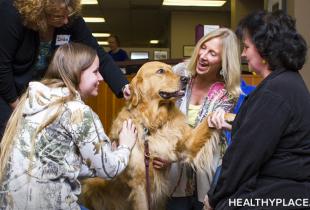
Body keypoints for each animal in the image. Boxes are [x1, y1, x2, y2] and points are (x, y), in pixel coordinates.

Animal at [79, 61, 232, 210]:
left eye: (172, 69)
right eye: (160, 71)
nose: (186, 79)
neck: (153, 123)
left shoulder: (187, 144)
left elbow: (209, 118)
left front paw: (228, 116)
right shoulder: (139, 185)